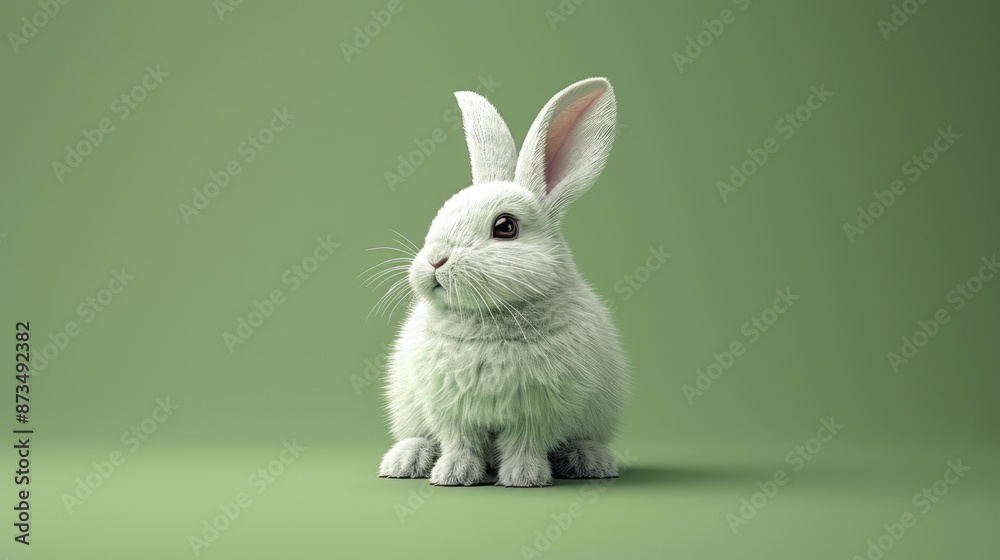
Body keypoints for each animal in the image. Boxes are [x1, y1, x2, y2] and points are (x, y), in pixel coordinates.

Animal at [376, 77, 629, 487]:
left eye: (506, 227)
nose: (434, 261)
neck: (489, 317)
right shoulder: (449, 408)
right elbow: (459, 441)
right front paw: (453, 474)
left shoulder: (539, 411)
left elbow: (525, 443)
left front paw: (523, 477)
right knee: (419, 435)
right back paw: (406, 460)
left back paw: (588, 460)